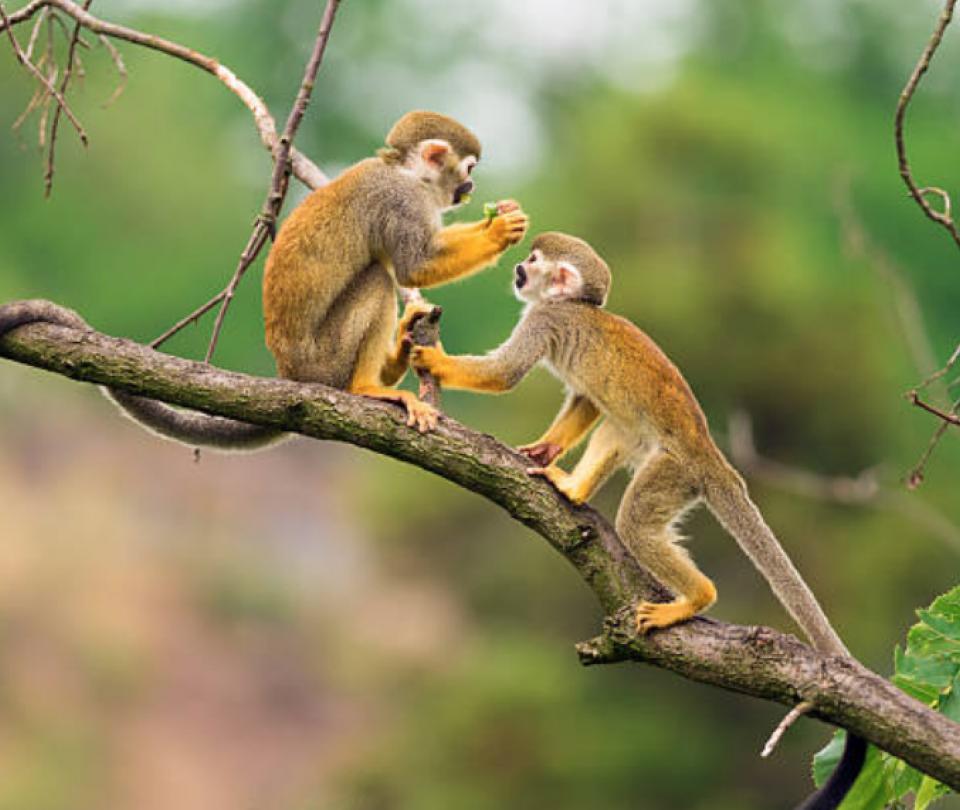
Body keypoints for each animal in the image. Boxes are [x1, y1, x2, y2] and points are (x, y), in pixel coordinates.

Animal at [0, 111, 529, 448]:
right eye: (467, 168)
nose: (470, 187)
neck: (407, 174)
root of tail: (291, 376)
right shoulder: (399, 202)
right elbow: (412, 265)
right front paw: (499, 229)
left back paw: (397, 354)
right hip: (325, 360)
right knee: (377, 279)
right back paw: (367, 387)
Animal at [410, 231, 865, 810]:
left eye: (533, 261)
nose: (517, 269)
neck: (574, 307)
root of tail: (711, 455)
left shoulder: (544, 320)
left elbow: (506, 374)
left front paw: (433, 357)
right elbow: (585, 400)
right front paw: (546, 449)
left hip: (675, 471)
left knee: (636, 517)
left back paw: (695, 598)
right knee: (617, 421)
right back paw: (574, 488)